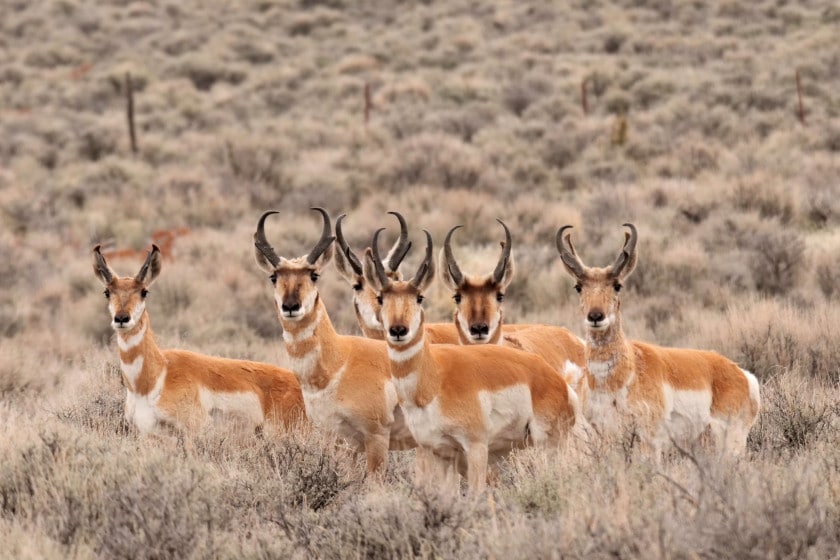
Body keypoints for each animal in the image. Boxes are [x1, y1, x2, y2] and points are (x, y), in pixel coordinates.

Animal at [251, 208, 418, 474]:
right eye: (273, 277)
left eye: (314, 274)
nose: (291, 306)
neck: (340, 361)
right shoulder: (338, 441)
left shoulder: (376, 438)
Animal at [556, 223, 760, 456]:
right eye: (578, 287)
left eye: (617, 285)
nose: (596, 316)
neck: (623, 375)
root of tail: (742, 374)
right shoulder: (607, 436)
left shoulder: (649, 440)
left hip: (730, 442)